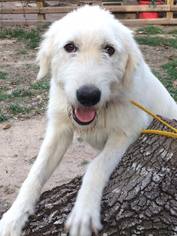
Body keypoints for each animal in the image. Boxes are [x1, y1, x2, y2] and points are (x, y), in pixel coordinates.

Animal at [0, 5, 177, 236]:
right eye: (70, 47)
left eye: (109, 50)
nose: (88, 96)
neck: (102, 110)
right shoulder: (59, 130)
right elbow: (36, 171)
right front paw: (14, 216)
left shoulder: (128, 131)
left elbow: (96, 166)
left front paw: (83, 213)